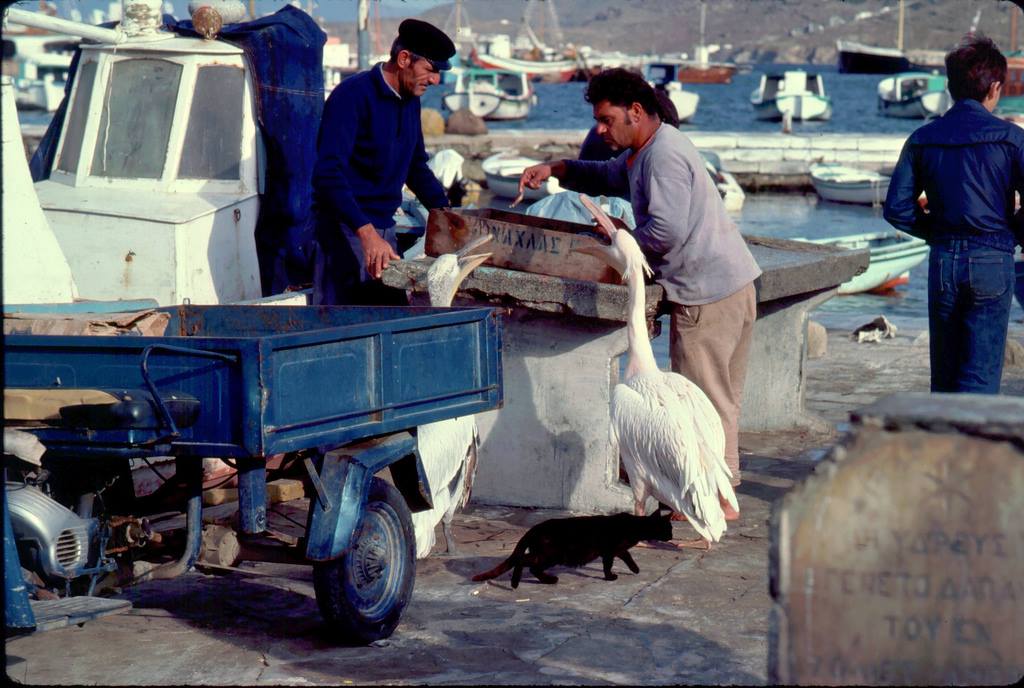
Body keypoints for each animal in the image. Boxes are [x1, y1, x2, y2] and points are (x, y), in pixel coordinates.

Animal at [468, 507, 671, 589]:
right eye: (668, 528)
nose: (671, 536)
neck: (635, 527)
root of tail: (534, 528)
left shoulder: (618, 549)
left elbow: (628, 557)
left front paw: (635, 569)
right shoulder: (609, 551)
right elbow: (608, 565)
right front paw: (610, 577)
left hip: (548, 556)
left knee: (532, 567)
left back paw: (548, 580)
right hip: (551, 555)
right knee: (525, 562)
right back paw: (516, 583)